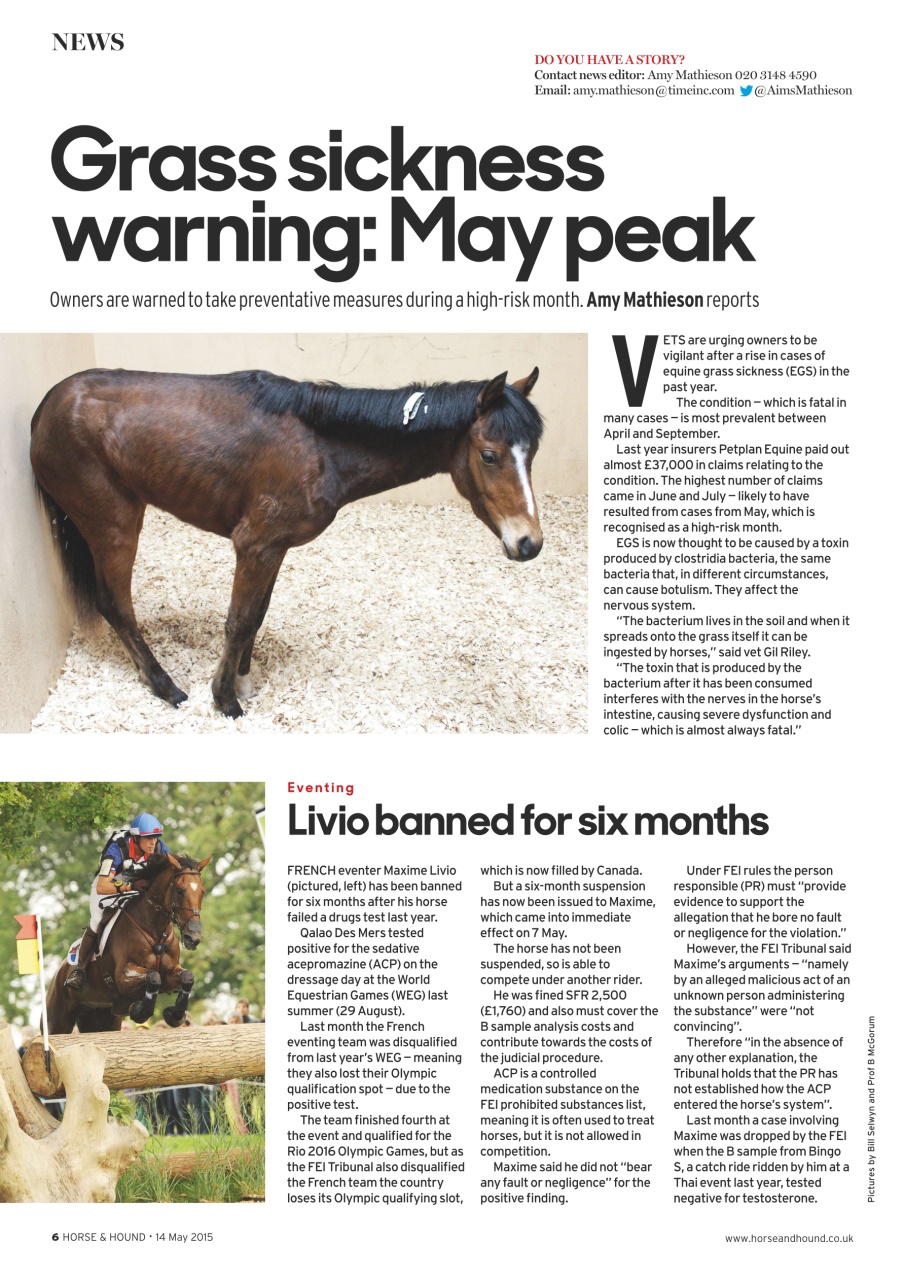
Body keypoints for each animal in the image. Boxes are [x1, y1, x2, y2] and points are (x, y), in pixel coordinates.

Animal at [30, 365, 544, 717]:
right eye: (490, 455)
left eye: (532, 453)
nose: (529, 543)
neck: (319, 445)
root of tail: (48, 405)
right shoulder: (254, 546)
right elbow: (237, 621)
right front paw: (225, 700)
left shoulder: (273, 549)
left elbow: (255, 618)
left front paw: (242, 680)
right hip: (115, 524)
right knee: (115, 605)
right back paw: (165, 685)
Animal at [46, 850, 212, 1034]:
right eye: (180, 891)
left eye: (202, 891)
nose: (193, 937)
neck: (153, 928)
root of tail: (57, 975)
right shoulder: (123, 976)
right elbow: (153, 977)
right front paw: (140, 1011)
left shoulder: (169, 973)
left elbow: (187, 977)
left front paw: (174, 1015)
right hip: (58, 1019)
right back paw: (76, 978)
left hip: (100, 1017)